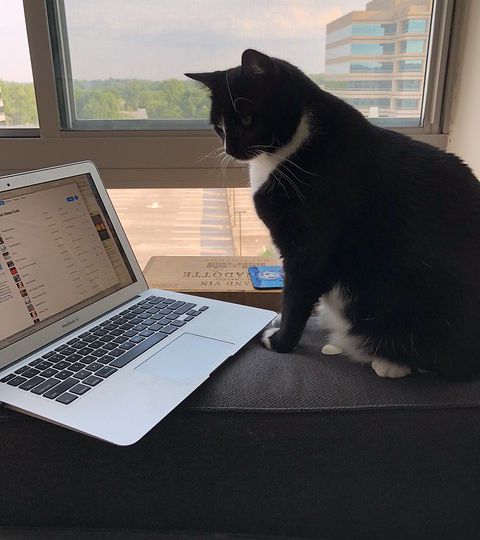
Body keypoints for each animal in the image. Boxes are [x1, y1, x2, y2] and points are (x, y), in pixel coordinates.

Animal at [187, 49, 480, 380]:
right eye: (219, 128)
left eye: (248, 119)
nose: (231, 149)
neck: (291, 149)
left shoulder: (308, 250)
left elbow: (295, 297)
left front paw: (281, 342)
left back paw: (388, 361)